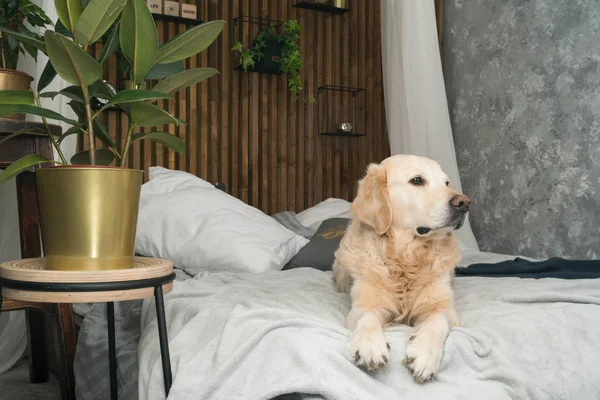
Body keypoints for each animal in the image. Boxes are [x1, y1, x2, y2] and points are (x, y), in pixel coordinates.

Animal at [332, 153, 468, 382]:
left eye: (446, 183)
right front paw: (370, 346)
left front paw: (424, 354)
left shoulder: (445, 309)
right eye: (417, 180)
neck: (406, 257)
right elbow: (368, 317)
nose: (464, 203)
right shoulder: (361, 307)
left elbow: (437, 321)